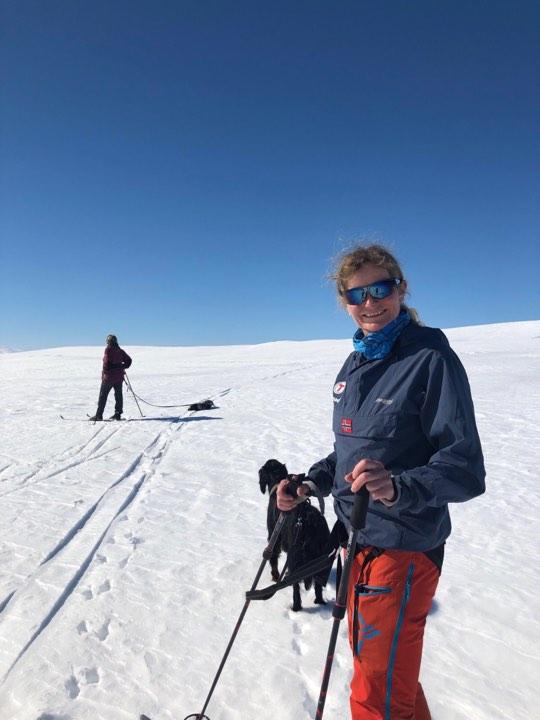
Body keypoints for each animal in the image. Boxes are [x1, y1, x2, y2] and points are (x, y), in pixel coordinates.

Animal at [258, 459, 331, 612]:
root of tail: (311, 523)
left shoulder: (274, 536)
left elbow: (273, 557)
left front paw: (275, 576)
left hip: (293, 558)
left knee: (296, 587)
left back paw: (296, 607)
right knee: (318, 585)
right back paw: (320, 602)